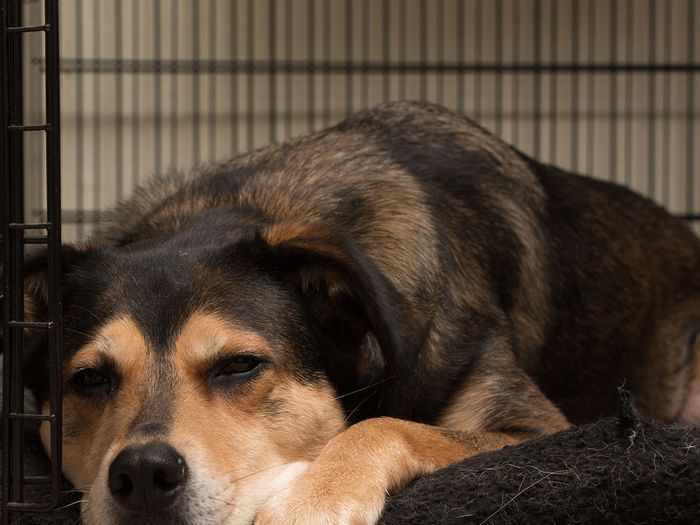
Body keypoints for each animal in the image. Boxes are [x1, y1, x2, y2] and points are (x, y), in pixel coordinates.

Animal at [9, 100, 700, 520]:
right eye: (89, 379)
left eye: (240, 365)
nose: (143, 474)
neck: (255, 203)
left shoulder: (541, 431)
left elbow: (389, 425)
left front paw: (313, 499)